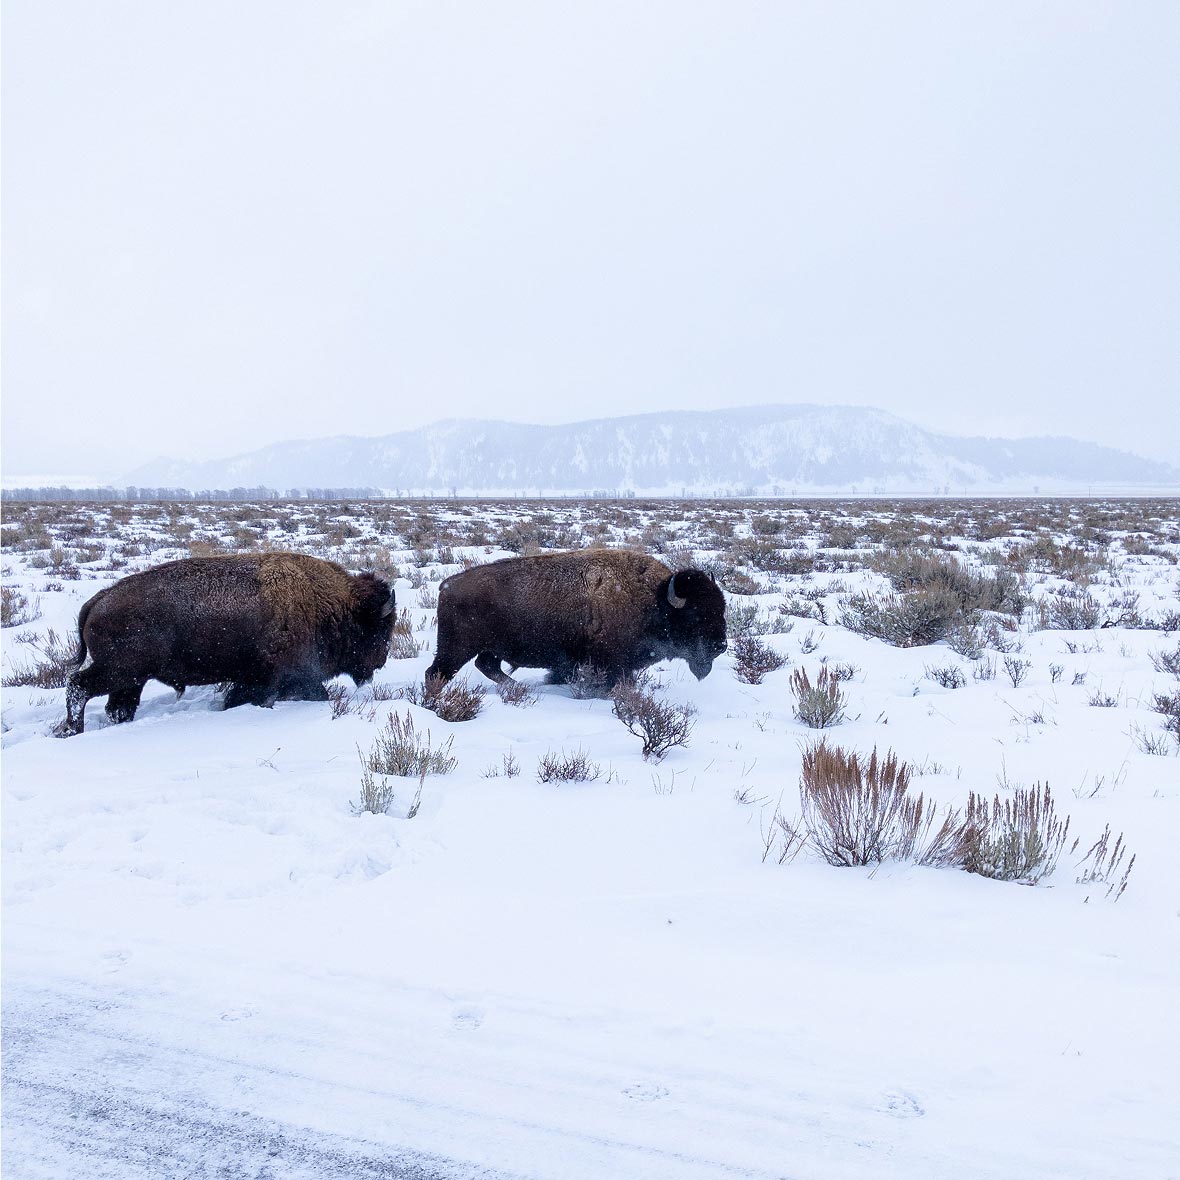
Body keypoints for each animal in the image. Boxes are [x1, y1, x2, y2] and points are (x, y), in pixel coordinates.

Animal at [60, 553, 396, 735]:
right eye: (380, 630)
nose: (380, 661)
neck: (331, 604)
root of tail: (97, 600)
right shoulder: (277, 678)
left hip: (131, 679)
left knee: (116, 705)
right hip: (119, 671)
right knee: (78, 686)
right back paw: (71, 730)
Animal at [425, 549, 727, 687]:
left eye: (721, 609)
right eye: (696, 615)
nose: (721, 646)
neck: (655, 599)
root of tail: (447, 585)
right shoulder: (612, 662)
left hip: (490, 649)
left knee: (487, 666)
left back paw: (517, 687)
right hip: (456, 648)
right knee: (436, 673)